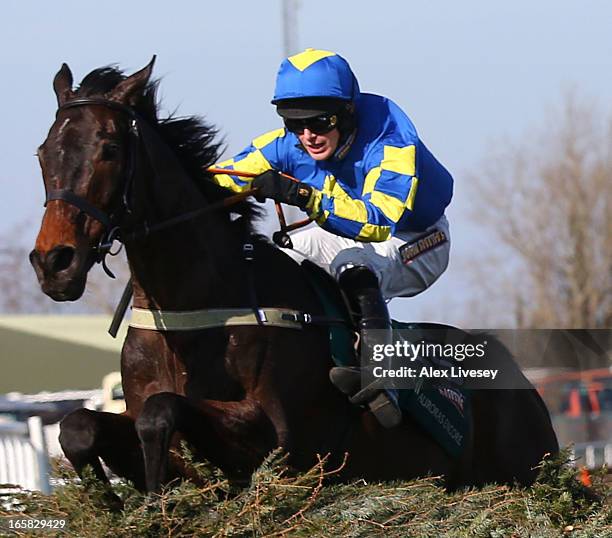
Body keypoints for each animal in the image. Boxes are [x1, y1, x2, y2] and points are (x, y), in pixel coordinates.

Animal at [31, 56, 560, 496]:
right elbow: (79, 427)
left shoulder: (279, 441)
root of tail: (520, 378)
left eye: (109, 148)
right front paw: (119, 503)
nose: (54, 262)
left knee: (358, 268)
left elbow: (163, 412)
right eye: (42, 153)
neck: (192, 311)